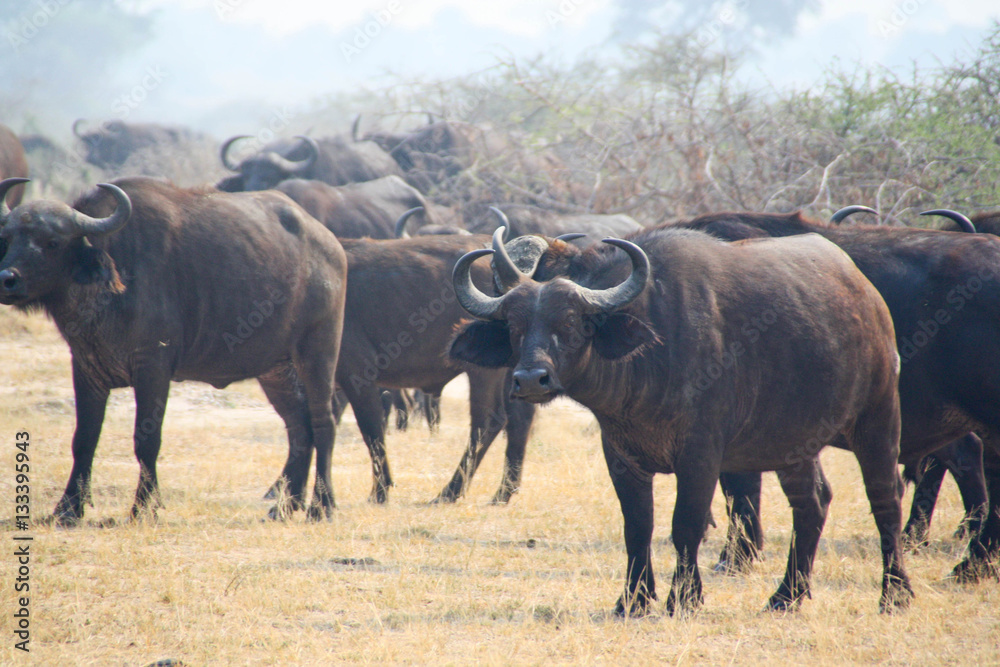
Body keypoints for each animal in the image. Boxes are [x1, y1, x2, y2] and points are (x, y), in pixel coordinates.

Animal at [0, 177, 348, 528]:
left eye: (52, 242)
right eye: (8, 237)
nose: (7, 280)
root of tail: (331, 246)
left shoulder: (153, 367)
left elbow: (147, 440)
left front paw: (144, 508)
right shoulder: (86, 369)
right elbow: (84, 439)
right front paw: (68, 508)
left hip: (318, 352)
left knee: (324, 422)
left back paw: (322, 506)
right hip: (275, 370)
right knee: (299, 426)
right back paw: (286, 506)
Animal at [450, 227, 912, 612]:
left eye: (571, 322)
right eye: (513, 326)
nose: (531, 379)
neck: (651, 355)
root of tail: (867, 294)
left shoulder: (701, 457)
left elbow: (685, 525)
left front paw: (684, 599)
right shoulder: (621, 457)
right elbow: (637, 527)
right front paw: (633, 601)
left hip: (877, 418)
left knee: (885, 500)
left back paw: (895, 594)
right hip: (795, 445)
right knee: (812, 504)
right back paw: (786, 597)